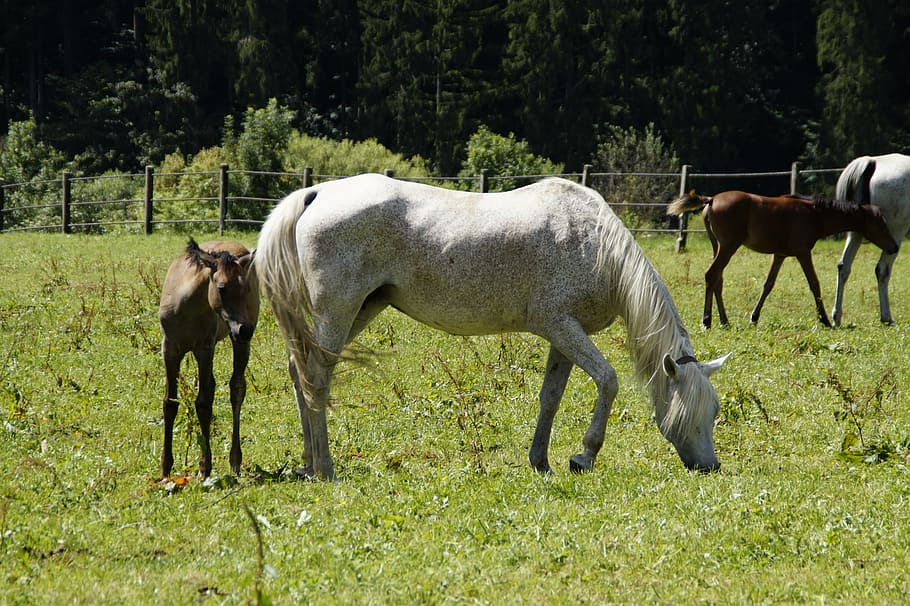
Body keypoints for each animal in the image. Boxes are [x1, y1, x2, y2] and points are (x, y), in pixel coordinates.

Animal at [158, 238, 259, 479]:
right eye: (221, 288)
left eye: (247, 288)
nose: (245, 330)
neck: (186, 307)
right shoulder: (169, 349)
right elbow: (170, 403)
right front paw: (166, 468)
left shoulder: (204, 349)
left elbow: (203, 403)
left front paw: (205, 467)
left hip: (236, 343)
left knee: (237, 388)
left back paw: (235, 460)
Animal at [255, 173, 730, 480]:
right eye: (693, 411)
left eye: (715, 411)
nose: (710, 466)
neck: (596, 246)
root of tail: (316, 192)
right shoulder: (561, 327)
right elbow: (608, 381)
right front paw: (584, 456)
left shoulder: (563, 335)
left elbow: (550, 398)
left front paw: (541, 462)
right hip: (339, 311)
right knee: (317, 377)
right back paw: (325, 468)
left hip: (362, 309)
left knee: (300, 371)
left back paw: (307, 462)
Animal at [668, 190, 898, 329]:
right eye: (879, 225)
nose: (894, 247)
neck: (814, 214)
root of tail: (712, 199)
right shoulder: (803, 252)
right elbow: (814, 284)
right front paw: (824, 319)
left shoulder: (779, 255)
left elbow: (768, 284)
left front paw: (754, 317)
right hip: (728, 246)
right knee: (711, 274)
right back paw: (707, 321)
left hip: (718, 246)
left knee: (718, 279)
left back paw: (724, 320)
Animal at [831, 154, 910, 326]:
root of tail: (871, 162)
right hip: (894, 236)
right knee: (882, 270)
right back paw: (887, 317)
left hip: (855, 234)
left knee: (843, 266)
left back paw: (836, 316)